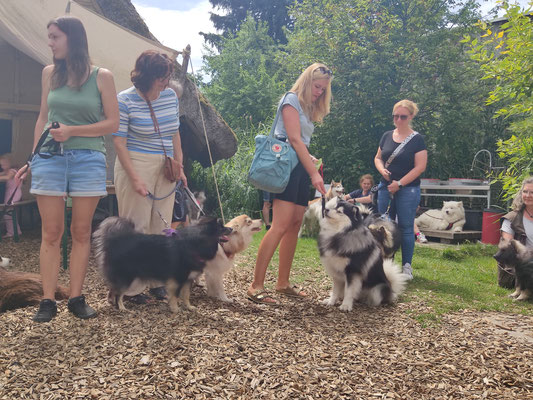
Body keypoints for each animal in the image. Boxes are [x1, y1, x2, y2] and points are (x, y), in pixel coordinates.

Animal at [91, 216, 231, 312]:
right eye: (221, 227)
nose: (231, 228)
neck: (195, 245)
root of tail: (115, 242)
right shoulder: (177, 279)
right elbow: (174, 295)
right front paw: (175, 309)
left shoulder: (188, 279)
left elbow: (186, 295)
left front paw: (189, 307)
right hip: (127, 277)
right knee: (119, 293)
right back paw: (121, 307)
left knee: (113, 289)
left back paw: (112, 302)